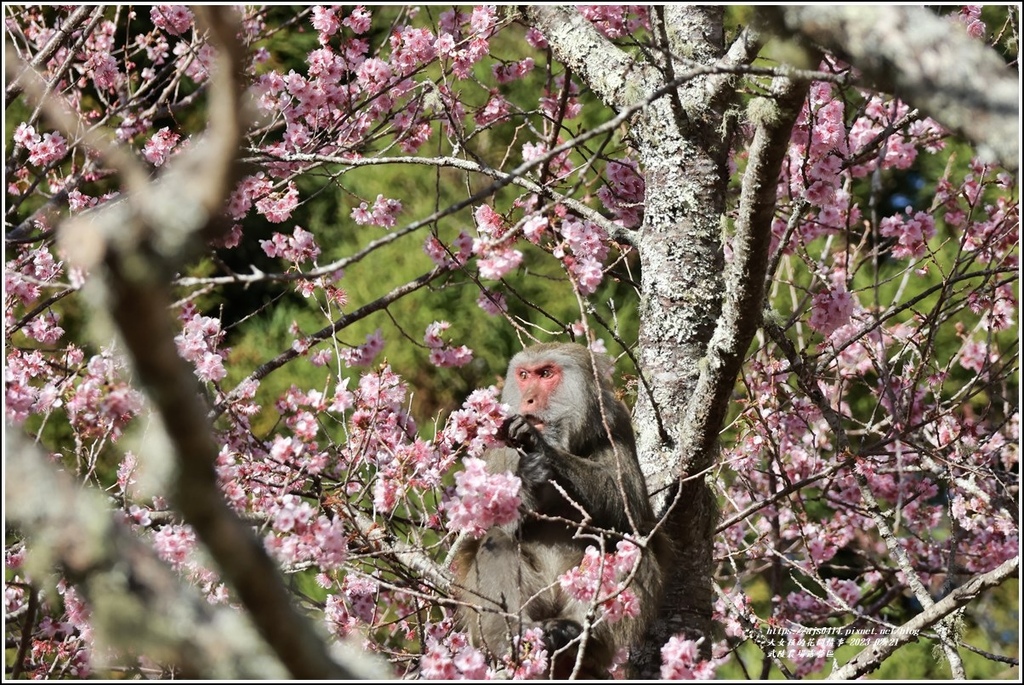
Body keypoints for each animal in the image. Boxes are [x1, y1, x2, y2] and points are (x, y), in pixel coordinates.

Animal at [452, 341, 667, 679]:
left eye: (546, 374)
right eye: (524, 375)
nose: (528, 398)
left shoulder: (615, 421)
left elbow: (631, 508)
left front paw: (540, 446)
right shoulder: (500, 443)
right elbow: (488, 521)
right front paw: (529, 475)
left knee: (625, 545)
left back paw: (578, 636)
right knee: (495, 541)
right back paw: (514, 640)